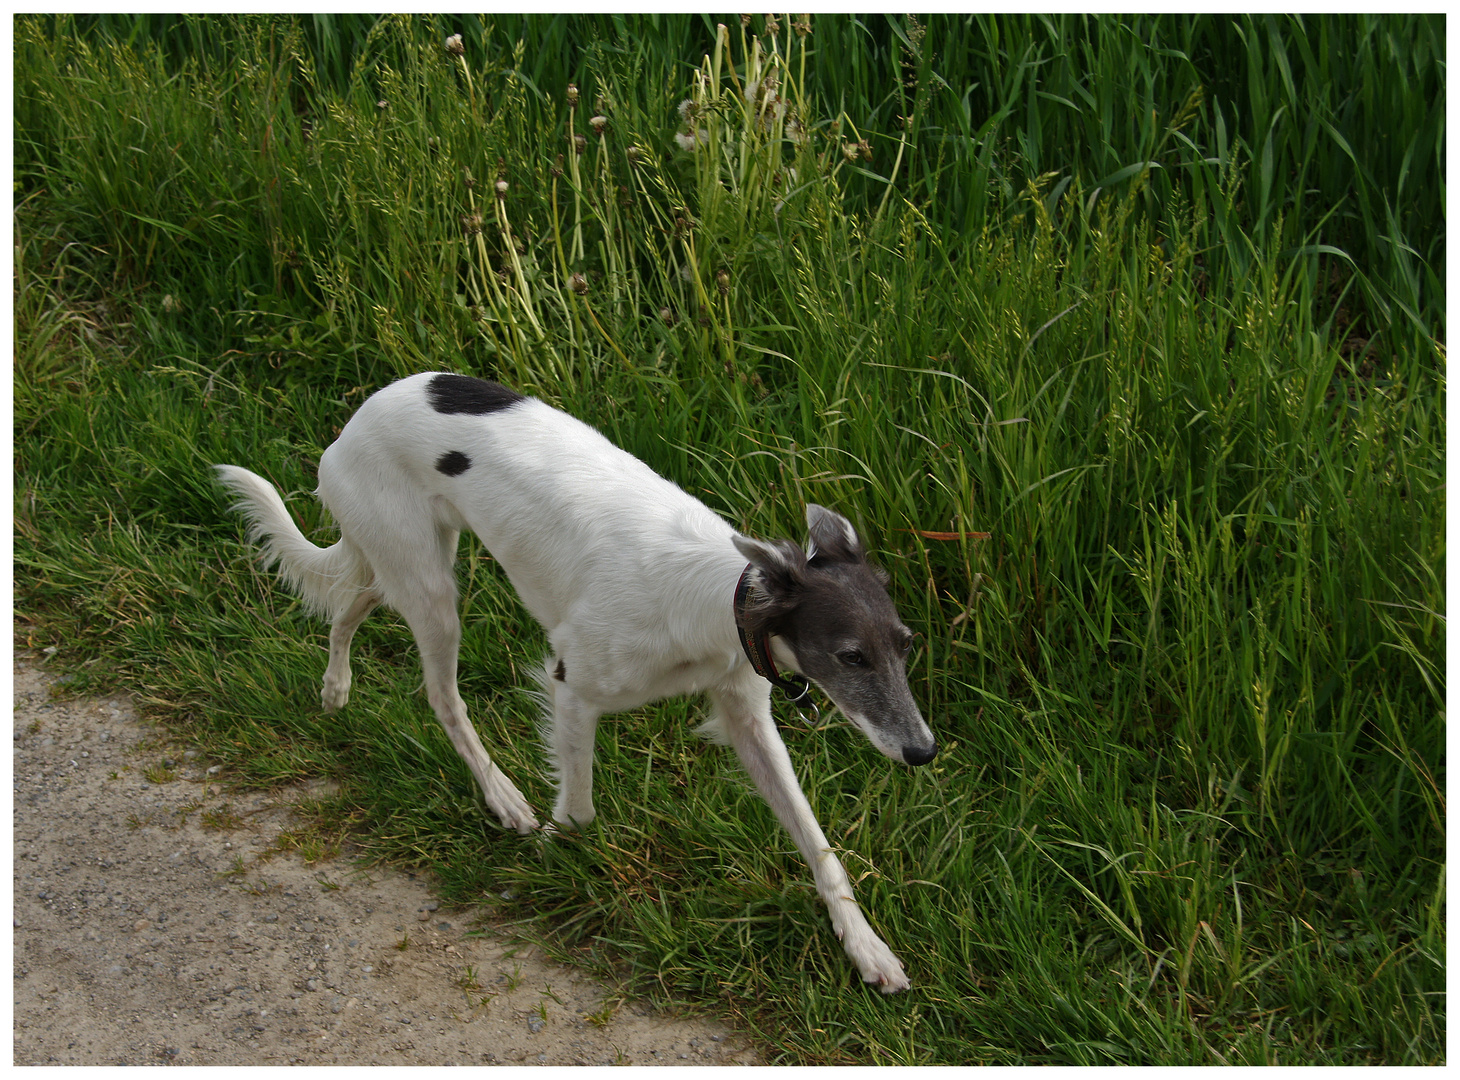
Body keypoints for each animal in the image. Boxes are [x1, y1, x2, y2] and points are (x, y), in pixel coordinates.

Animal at [221, 373, 940, 998]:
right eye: (851, 657)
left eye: (904, 645)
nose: (923, 752)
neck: (711, 594)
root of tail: (353, 424)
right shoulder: (571, 685)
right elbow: (580, 810)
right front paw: (541, 854)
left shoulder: (746, 716)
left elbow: (818, 843)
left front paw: (866, 947)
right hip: (429, 588)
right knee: (440, 695)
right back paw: (503, 797)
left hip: (404, 563)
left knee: (347, 602)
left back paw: (336, 688)